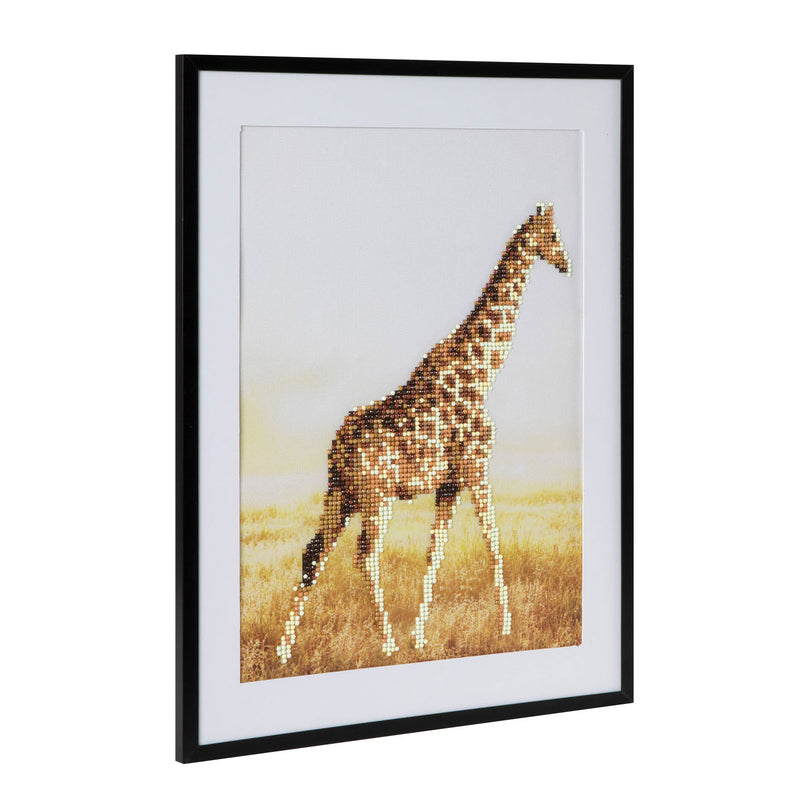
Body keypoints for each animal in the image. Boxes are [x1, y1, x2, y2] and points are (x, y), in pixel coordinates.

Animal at [277, 202, 572, 663]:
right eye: (554, 235)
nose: (566, 263)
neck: (482, 372)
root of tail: (335, 451)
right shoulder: (476, 469)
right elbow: (494, 543)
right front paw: (506, 628)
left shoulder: (449, 483)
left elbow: (434, 553)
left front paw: (420, 636)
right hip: (375, 497)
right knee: (365, 557)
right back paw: (386, 643)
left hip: (339, 494)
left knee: (312, 553)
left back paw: (284, 651)